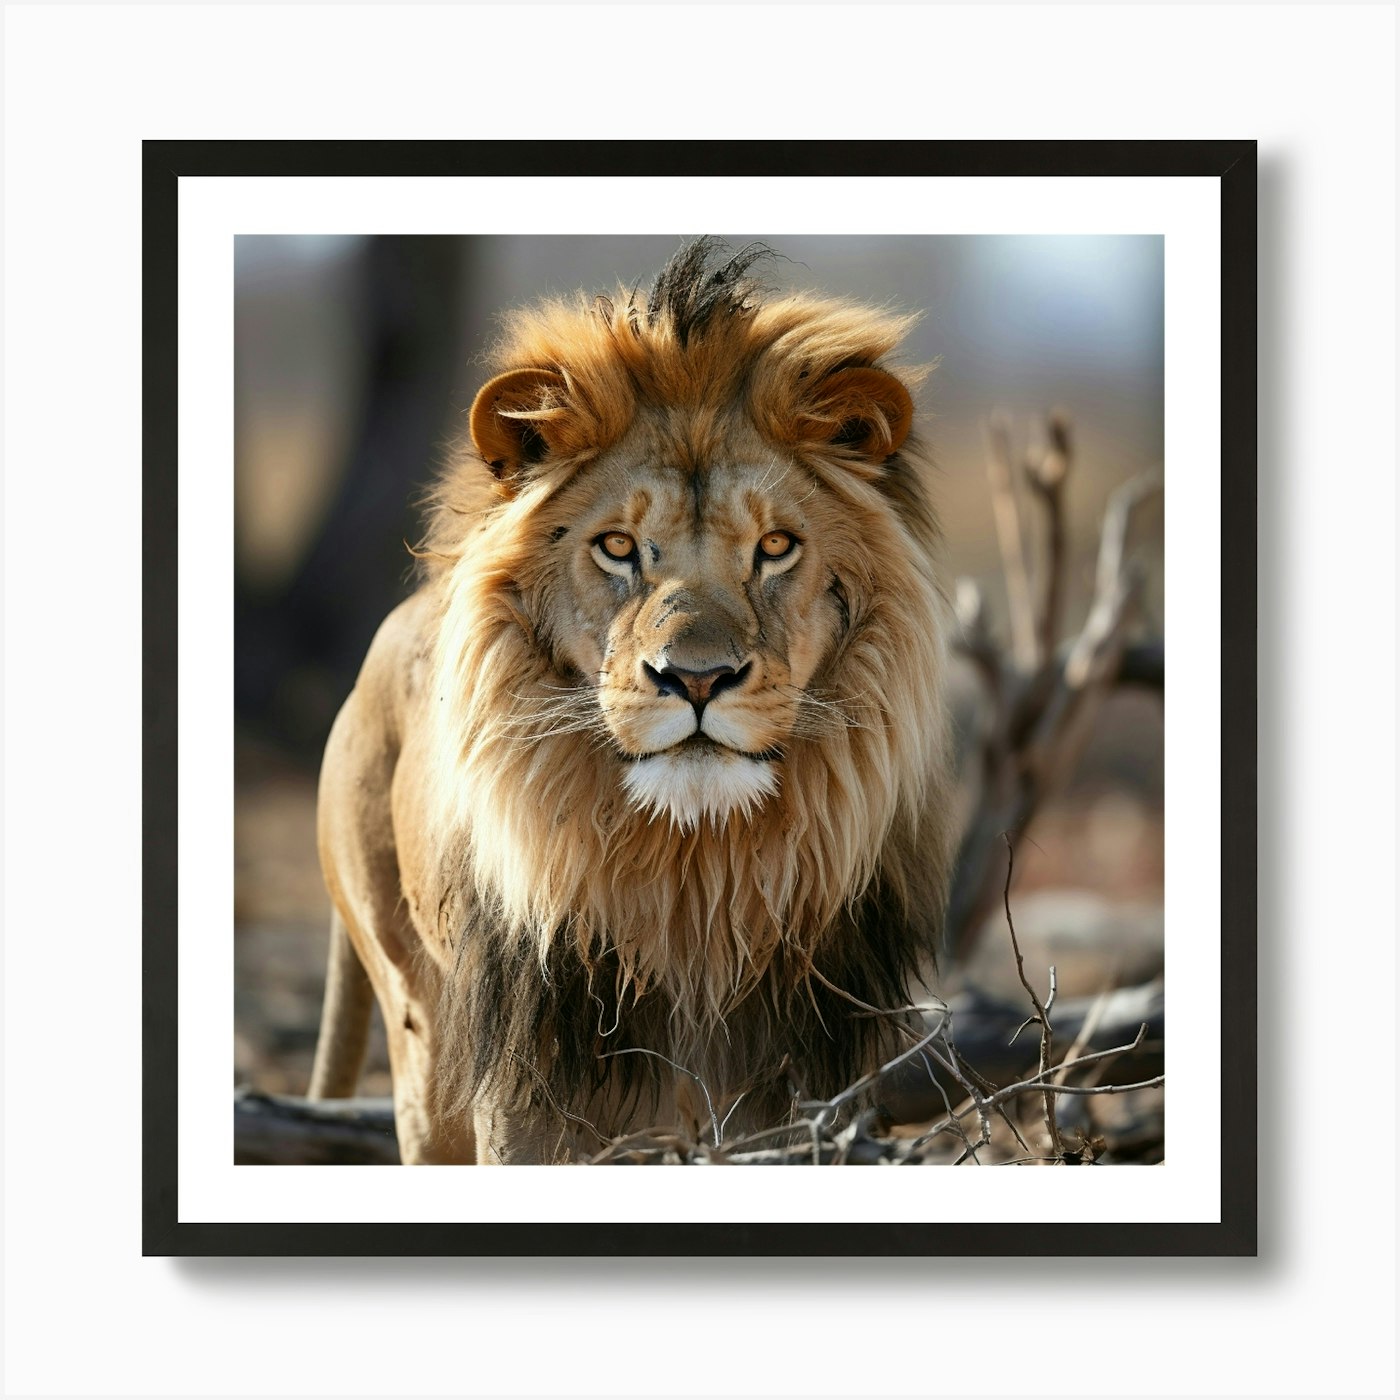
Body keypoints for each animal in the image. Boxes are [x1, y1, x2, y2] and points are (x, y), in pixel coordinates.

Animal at [307, 239, 956, 1164]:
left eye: (776, 546)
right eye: (617, 547)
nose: (696, 678)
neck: (692, 877)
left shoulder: (792, 1087)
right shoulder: (528, 1088)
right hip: (419, 1036)